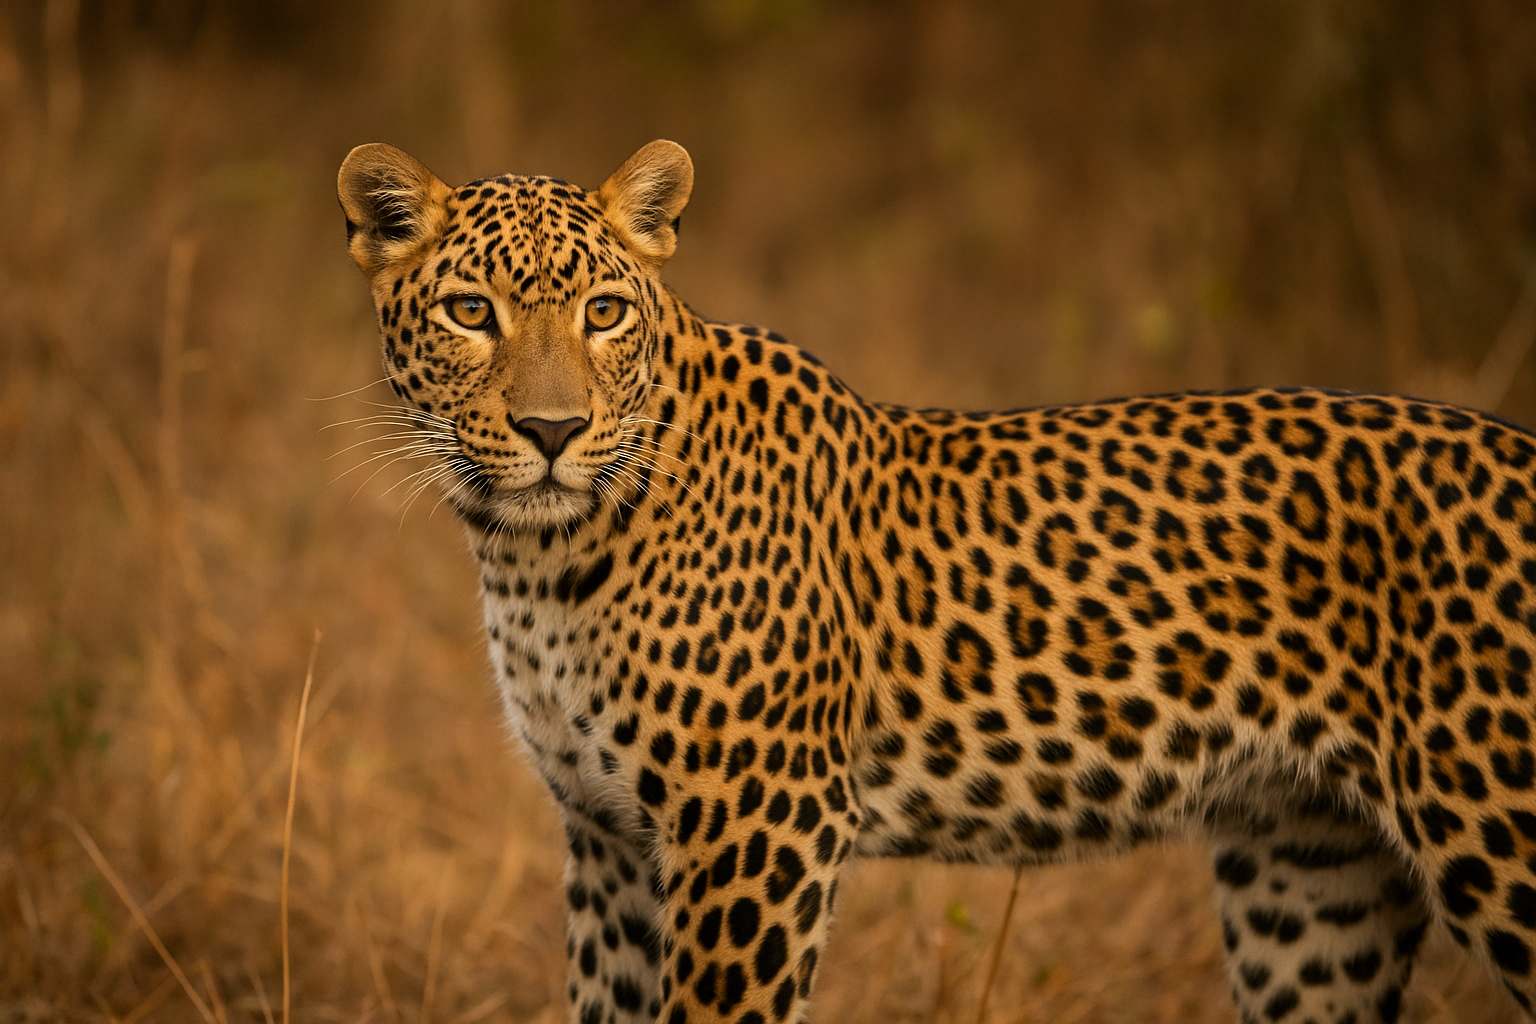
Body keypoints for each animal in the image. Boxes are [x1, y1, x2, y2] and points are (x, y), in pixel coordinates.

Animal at [337, 138, 1536, 1024]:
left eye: (603, 313)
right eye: (470, 312)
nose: (552, 432)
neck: (538, 560)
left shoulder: (756, 823)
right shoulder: (609, 837)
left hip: (1495, 826)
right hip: (1313, 879)